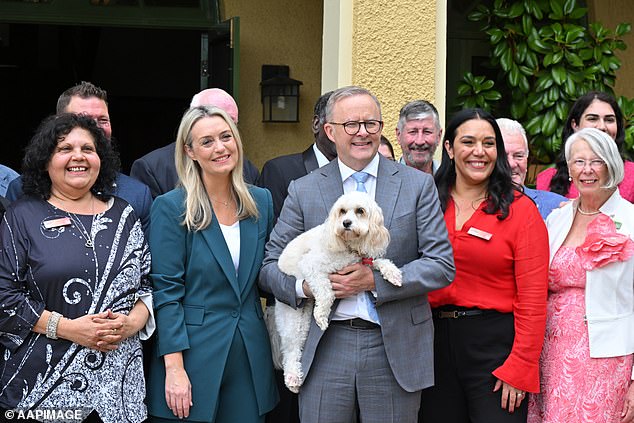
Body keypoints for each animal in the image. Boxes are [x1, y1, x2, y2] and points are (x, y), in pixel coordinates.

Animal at [268, 192, 400, 394]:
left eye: (360, 211)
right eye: (342, 211)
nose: (346, 223)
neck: (348, 246)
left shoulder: (363, 260)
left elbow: (378, 262)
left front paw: (392, 273)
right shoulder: (311, 265)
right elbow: (326, 292)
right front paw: (322, 315)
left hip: (304, 319)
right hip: (292, 317)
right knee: (290, 350)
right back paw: (292, 378)